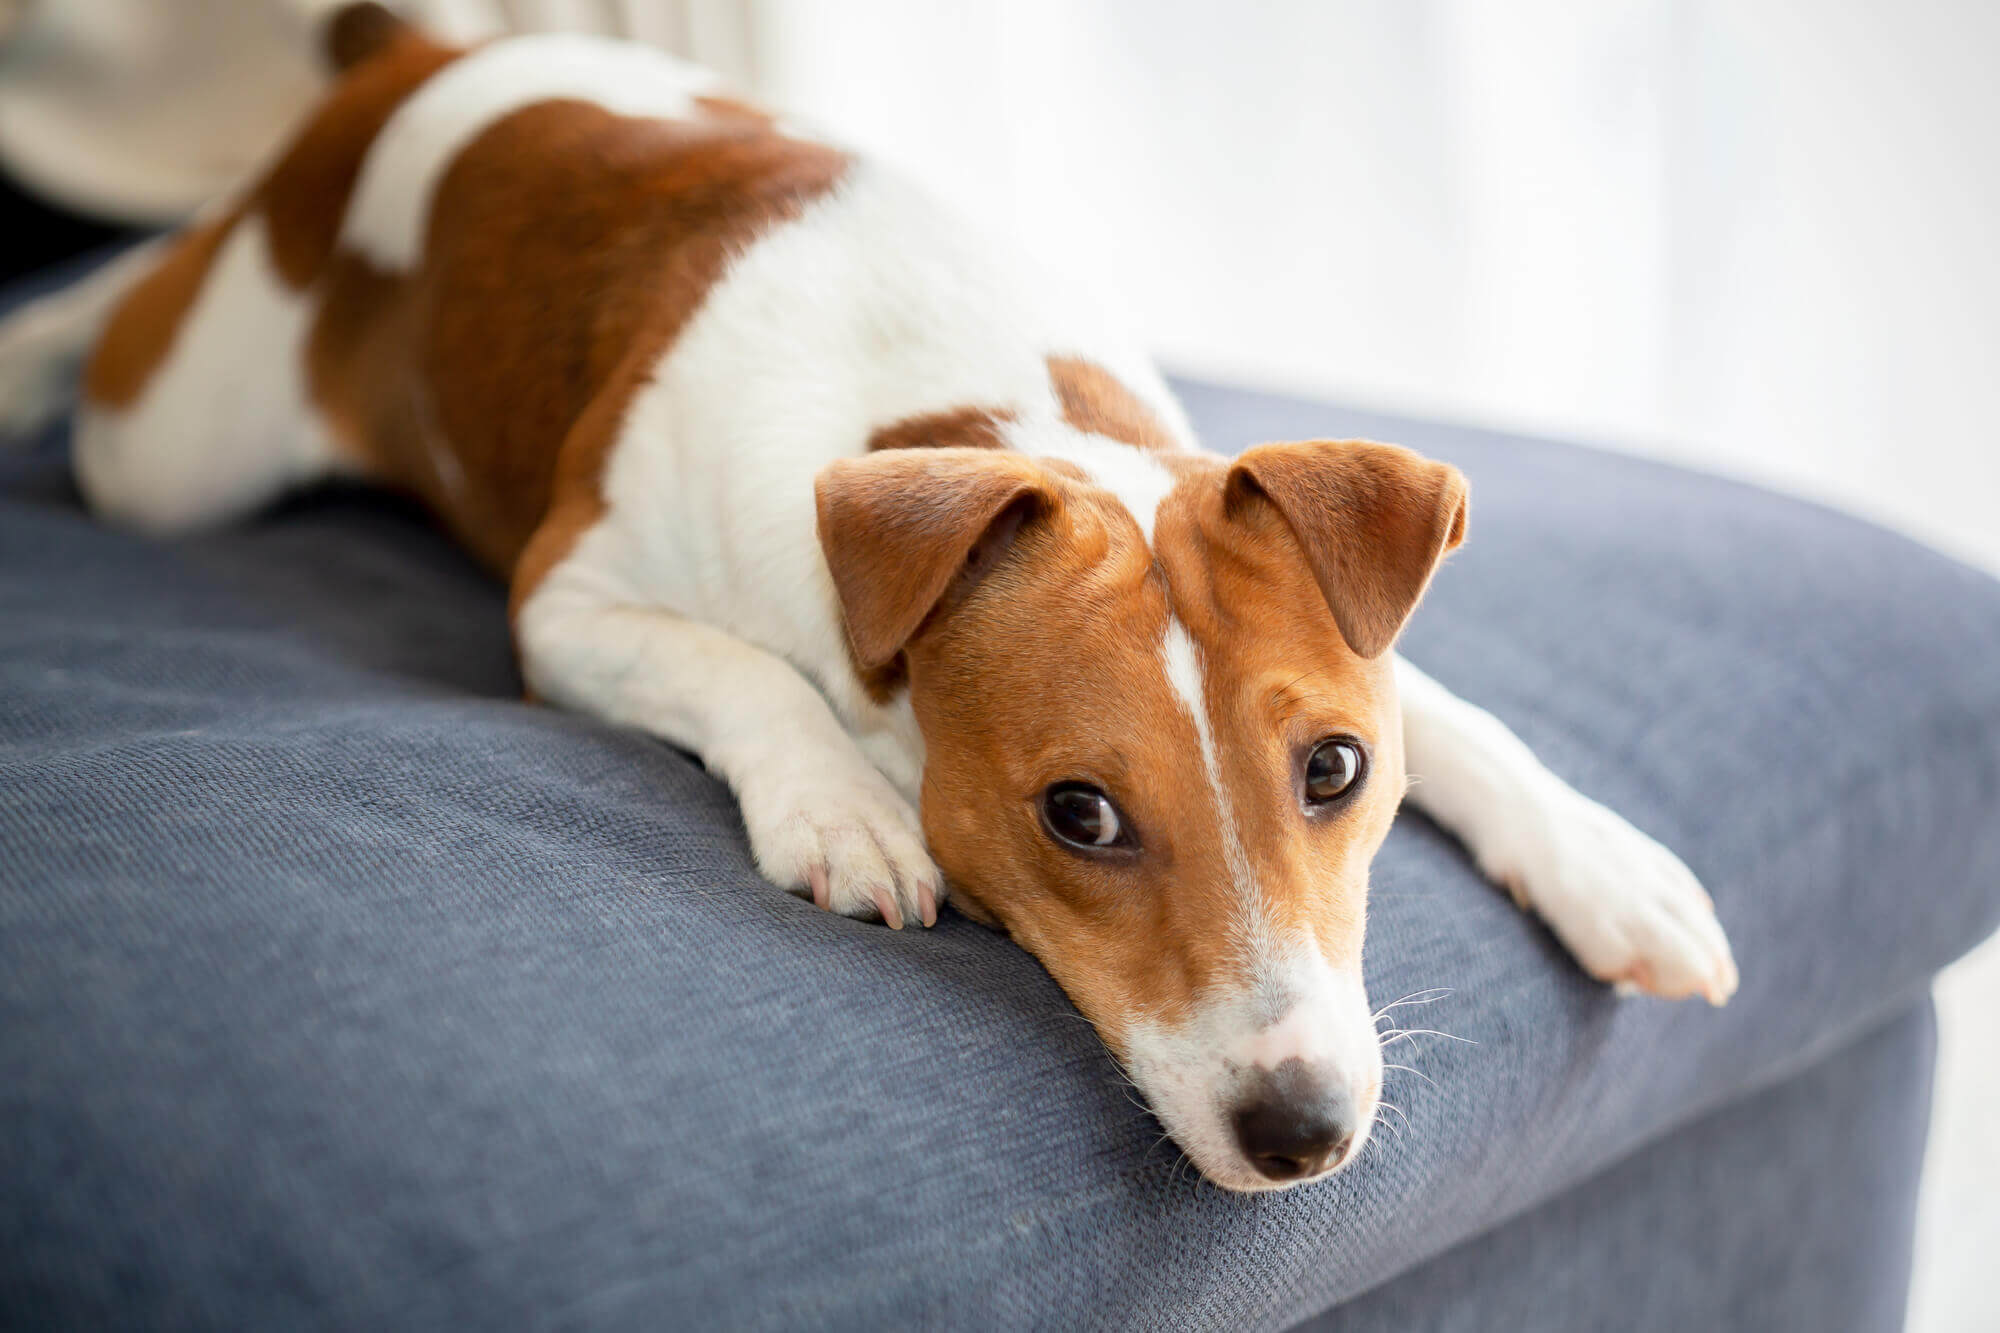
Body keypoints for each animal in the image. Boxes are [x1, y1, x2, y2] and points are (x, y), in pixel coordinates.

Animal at [0, 7, 1736, 1192]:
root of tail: (412, 58)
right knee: (141, 291)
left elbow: (1466, 715)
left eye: (1336, 771)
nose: (1302, 1131)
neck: (962, 416)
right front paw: (845, 812)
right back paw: (35, 347)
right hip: (175, 446)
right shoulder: (569, 606)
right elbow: (753, 676)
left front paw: (1615, 866)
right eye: (1079, 814)